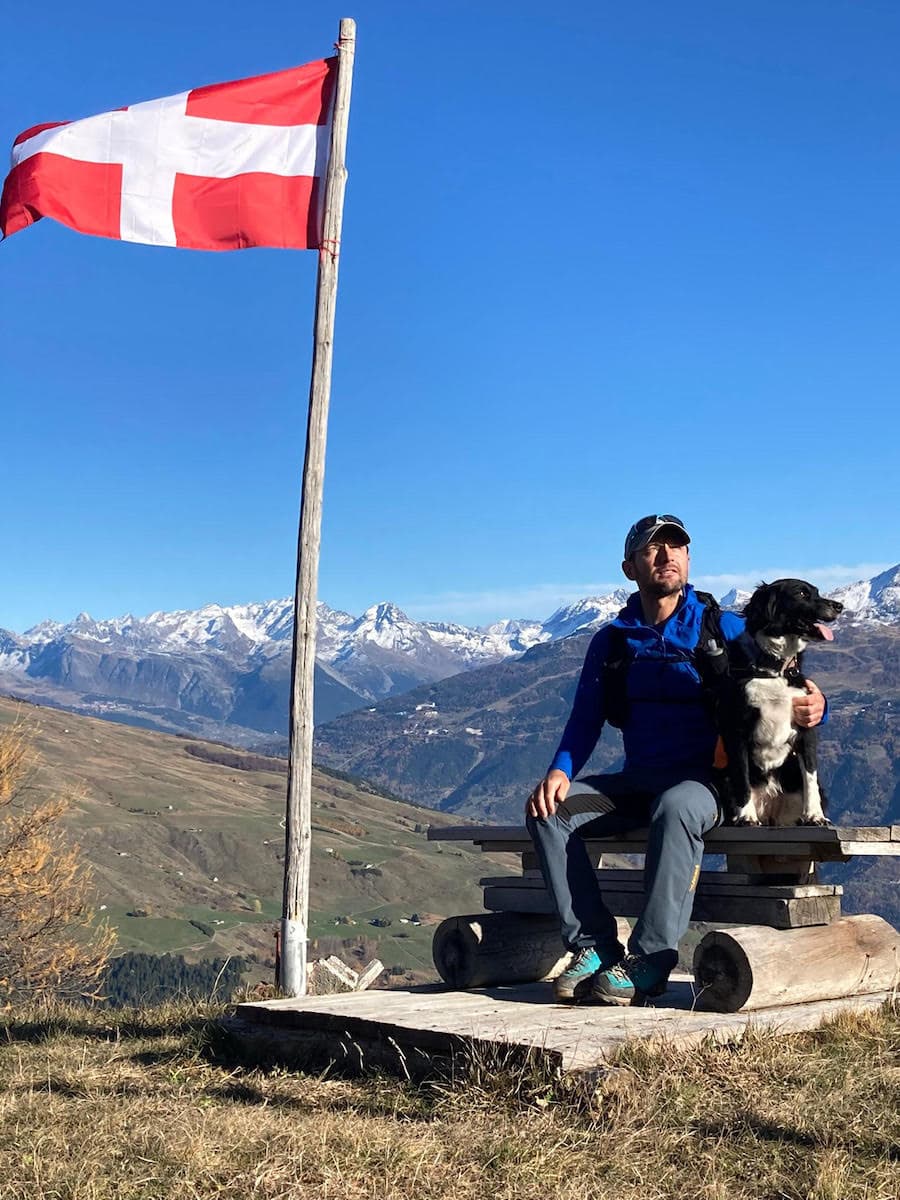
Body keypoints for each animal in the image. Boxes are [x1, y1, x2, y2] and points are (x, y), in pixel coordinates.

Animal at [715, 578, 844, 825]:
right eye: (802, 594)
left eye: (817, 592)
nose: (839, 605)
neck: (776, 670)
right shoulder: (737, 731)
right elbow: (742, 778)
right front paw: (746, 816)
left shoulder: (806, 728)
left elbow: (810, 778)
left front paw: (815, 815)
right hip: (724, 775)